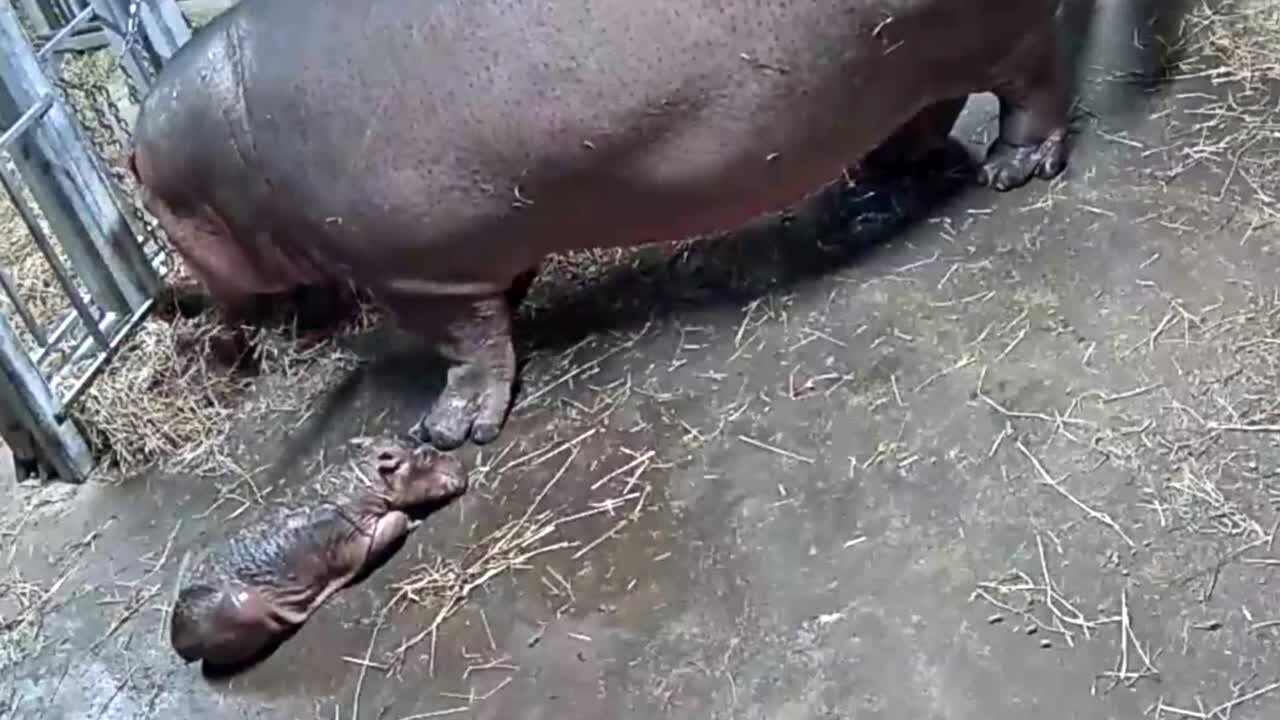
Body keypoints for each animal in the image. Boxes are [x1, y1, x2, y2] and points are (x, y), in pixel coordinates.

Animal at [127, 0, 1070, 448]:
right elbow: (501, 303)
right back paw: (878, 177)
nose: (175, 310)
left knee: (1031, 89)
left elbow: (466, 346)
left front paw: (446, 431)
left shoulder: (416, 272)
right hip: (898, 58)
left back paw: (1014, 171)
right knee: (930, 107)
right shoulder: (473, 246)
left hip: (1001, 39)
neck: (225, 139)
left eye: (145, 198)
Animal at [168, 435, 465, 666]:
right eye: (425, 456)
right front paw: (414, 521)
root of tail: (179, 641)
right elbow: (397, 518)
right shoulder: (358, 539)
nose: (461, 464)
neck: (364, 476)